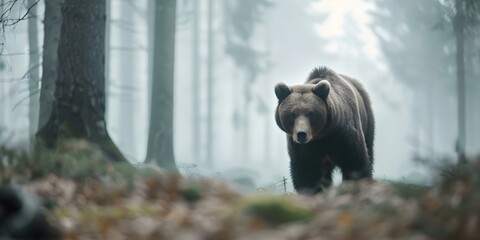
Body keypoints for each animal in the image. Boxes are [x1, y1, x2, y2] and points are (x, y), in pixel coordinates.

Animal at [276, 66, 374, 194]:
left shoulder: (343, 134)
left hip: (367, 119)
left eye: (311, 113)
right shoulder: (304, 147)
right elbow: (306, 170)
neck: (322, 135)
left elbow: (354, 161)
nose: (301, 134)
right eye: (293, 114)